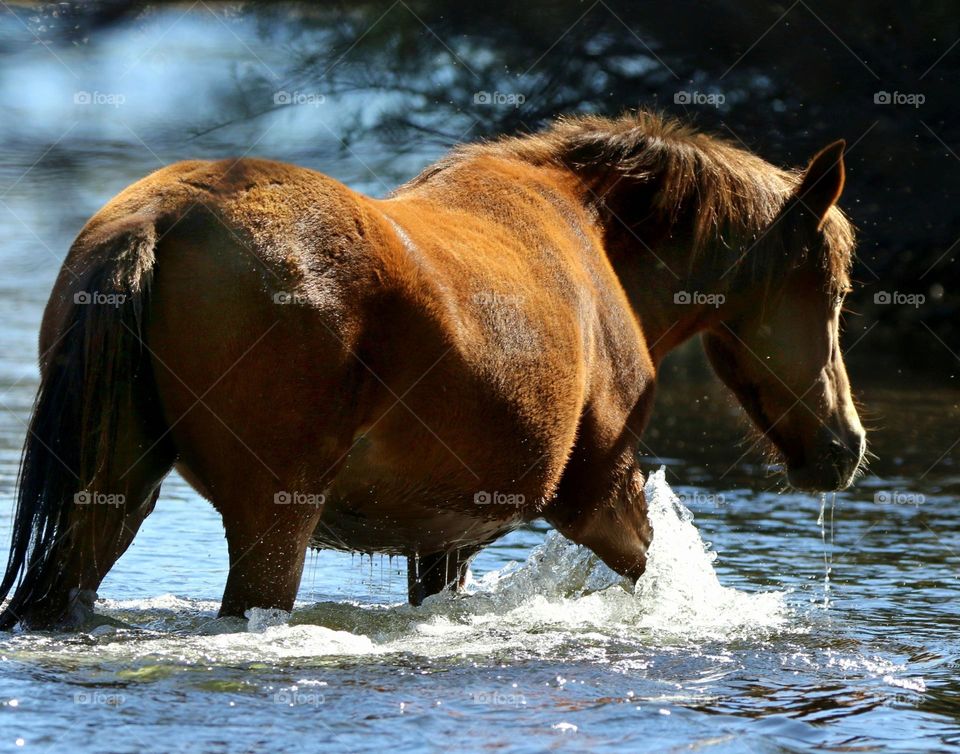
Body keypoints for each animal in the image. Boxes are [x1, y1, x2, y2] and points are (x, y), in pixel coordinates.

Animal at [0, 111, 866, 629]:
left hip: (114, 495)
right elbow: (662, 580)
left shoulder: (443, 542)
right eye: (831, 288)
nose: (844, 445)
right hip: (272, 521)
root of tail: (157, 220)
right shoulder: (598, 497)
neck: (595, 238)